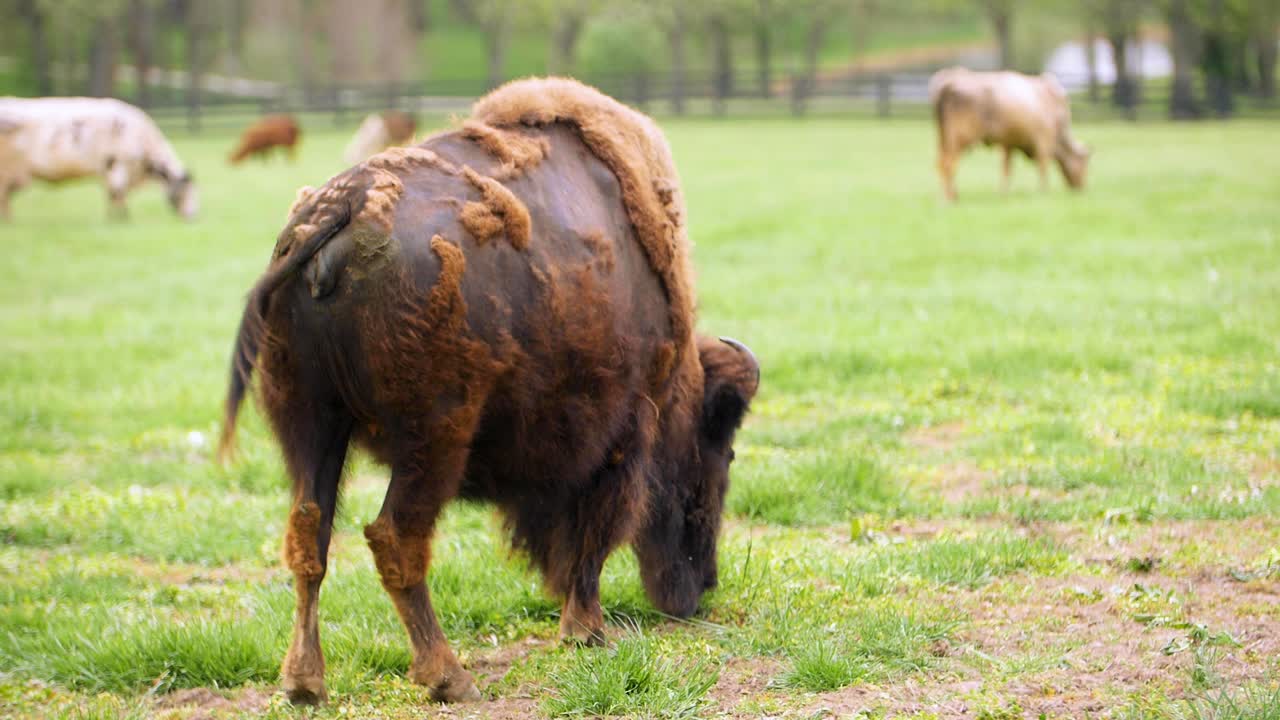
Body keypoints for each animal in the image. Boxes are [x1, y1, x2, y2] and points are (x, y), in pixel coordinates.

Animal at [218, 78, 759, 704]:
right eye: (721, 451)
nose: (702, 586)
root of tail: (340, 212)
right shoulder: (620, 439)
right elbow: (593, 537)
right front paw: (587, 632)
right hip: (434, 438)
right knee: (394, 538)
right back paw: (449, 676)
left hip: (310, 421)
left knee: (310, 533)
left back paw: (305, 682)